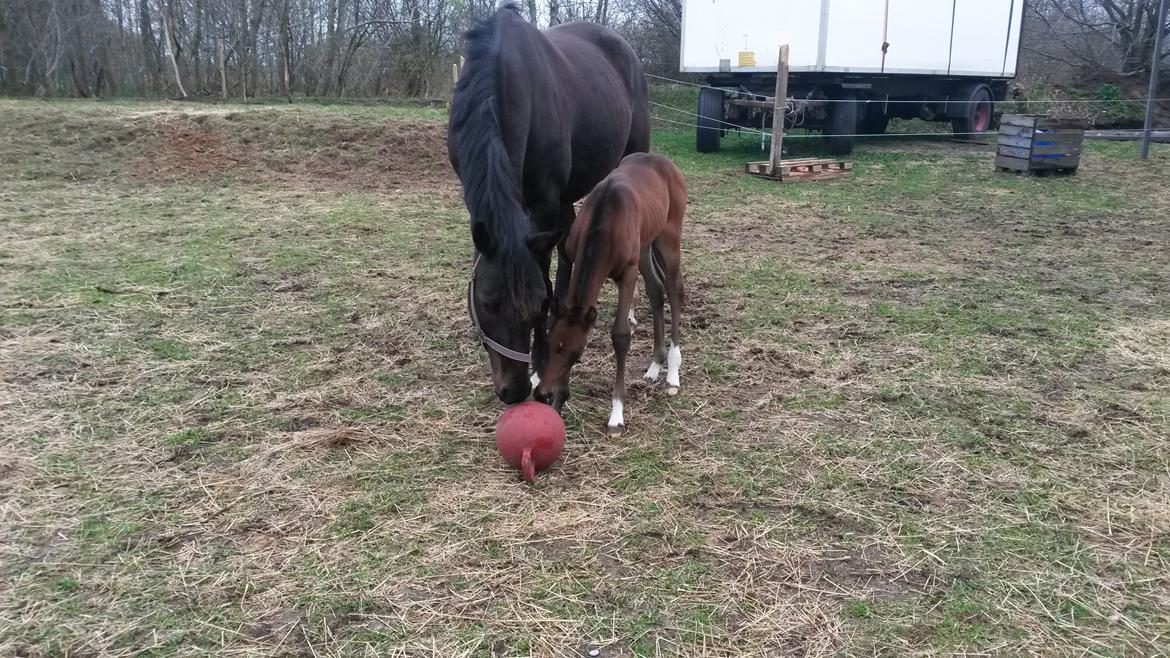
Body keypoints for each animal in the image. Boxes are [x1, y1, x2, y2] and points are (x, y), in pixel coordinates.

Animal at [446, 5, 650, 402]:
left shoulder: (542, 205)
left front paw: (543, 367)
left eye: (538, 304)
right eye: (487, 303)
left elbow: (544, 270)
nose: (514, 391)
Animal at [535, 151, 687, 433]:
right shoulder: (576, 259)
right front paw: (559, 402)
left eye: (577, 355)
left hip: (669, 238)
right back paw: (654, 366)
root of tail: (664, 160)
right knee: (656, 289)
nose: (543, 393)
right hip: (645, 245)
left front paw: (617, 414)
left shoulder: (627, 274)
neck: (605, 220)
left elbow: (621, 335)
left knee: (674, 290)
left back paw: (672, 373)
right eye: (549, 345)